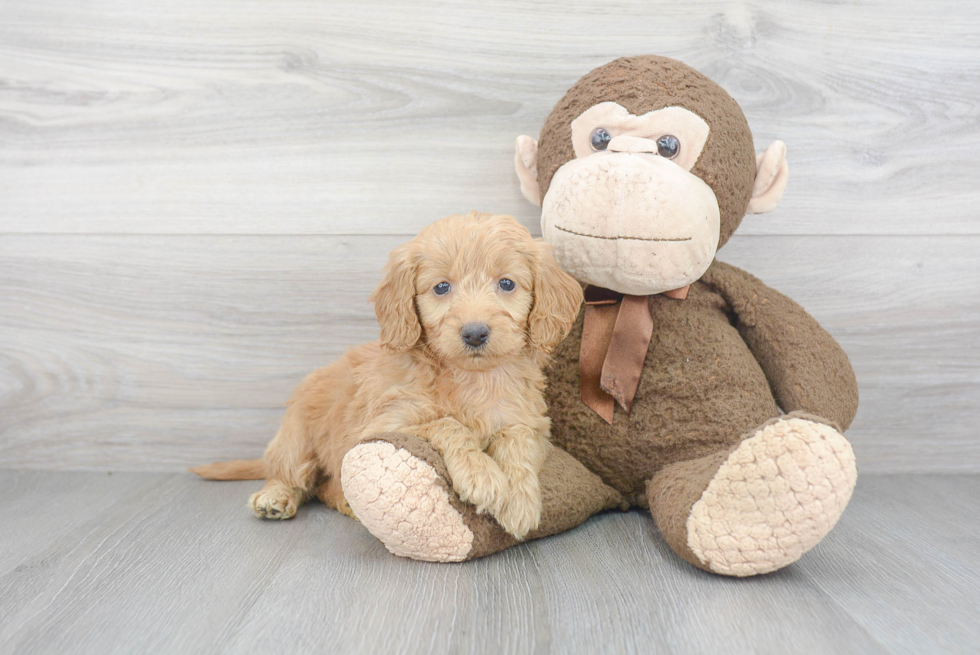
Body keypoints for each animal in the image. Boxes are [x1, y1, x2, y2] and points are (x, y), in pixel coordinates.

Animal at [195, 210, 584, 540]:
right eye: (441, 287)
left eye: (506, 284)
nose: (474, 333)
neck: (470, 378)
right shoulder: (386, 423)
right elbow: (447, 424)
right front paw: (482, 475)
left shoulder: (528, 421)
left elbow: (518, 444)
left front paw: (520, 500)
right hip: (296, 436)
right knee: (293, 475)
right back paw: (274, 497)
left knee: (325, 487)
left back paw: (345, 503)